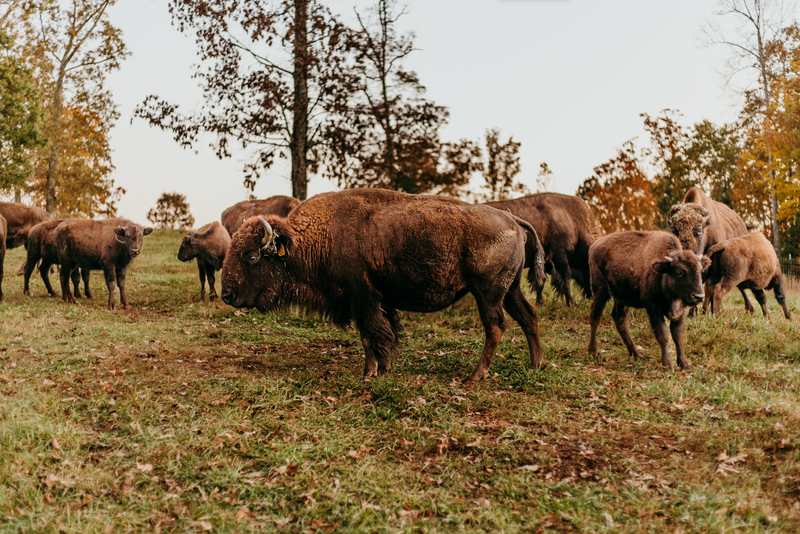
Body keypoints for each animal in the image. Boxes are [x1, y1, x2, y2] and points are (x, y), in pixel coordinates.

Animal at [221, 189, 546, 382]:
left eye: (251, 256)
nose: (226, 295)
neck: (314, 238)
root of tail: (512, 219)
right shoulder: (379, 301)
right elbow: (387, 333)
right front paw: (385, 367)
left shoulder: (361, 299)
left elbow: (370, 336)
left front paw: (369, 373)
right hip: (510, 290)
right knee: (528, 317)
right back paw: (535, 365)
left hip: (488, 293)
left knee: (496, 327)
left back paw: (475, 376)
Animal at [588, 231, 710, 370]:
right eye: (679, 272)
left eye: (700, 271)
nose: (699, 296)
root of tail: (594, 246)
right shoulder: (653, 308)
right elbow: (663, 334)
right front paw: (668, 365)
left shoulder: (680, 311)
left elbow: (678, 335)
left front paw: (684, 364)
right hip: (600, 290)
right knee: (595, 316)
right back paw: (593, 352)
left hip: (621, 298)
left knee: (619, 319)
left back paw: (636, 354)